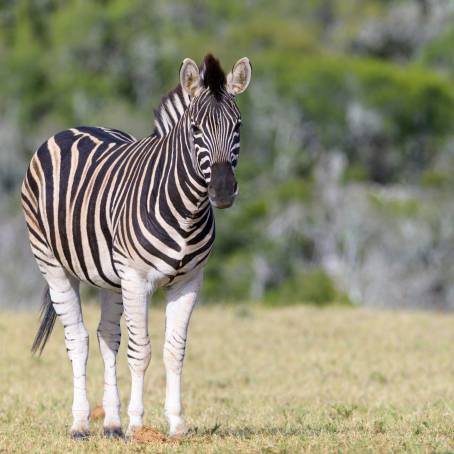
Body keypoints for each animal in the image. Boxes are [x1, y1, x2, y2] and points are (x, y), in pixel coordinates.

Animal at [21, 54, 252, 440]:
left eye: (238, 127)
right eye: (195, 129)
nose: (221, 191)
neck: (186, 209)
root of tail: (73, 128)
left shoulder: (189, 282)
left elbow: (174, 350)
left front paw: (176, 423)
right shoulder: (136, 278)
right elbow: (140, 350)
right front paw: (139, 423)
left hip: (110, 278)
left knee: (107, 336)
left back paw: (111, 423)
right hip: (53, 264)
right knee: (78, 339)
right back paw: (81, 424)